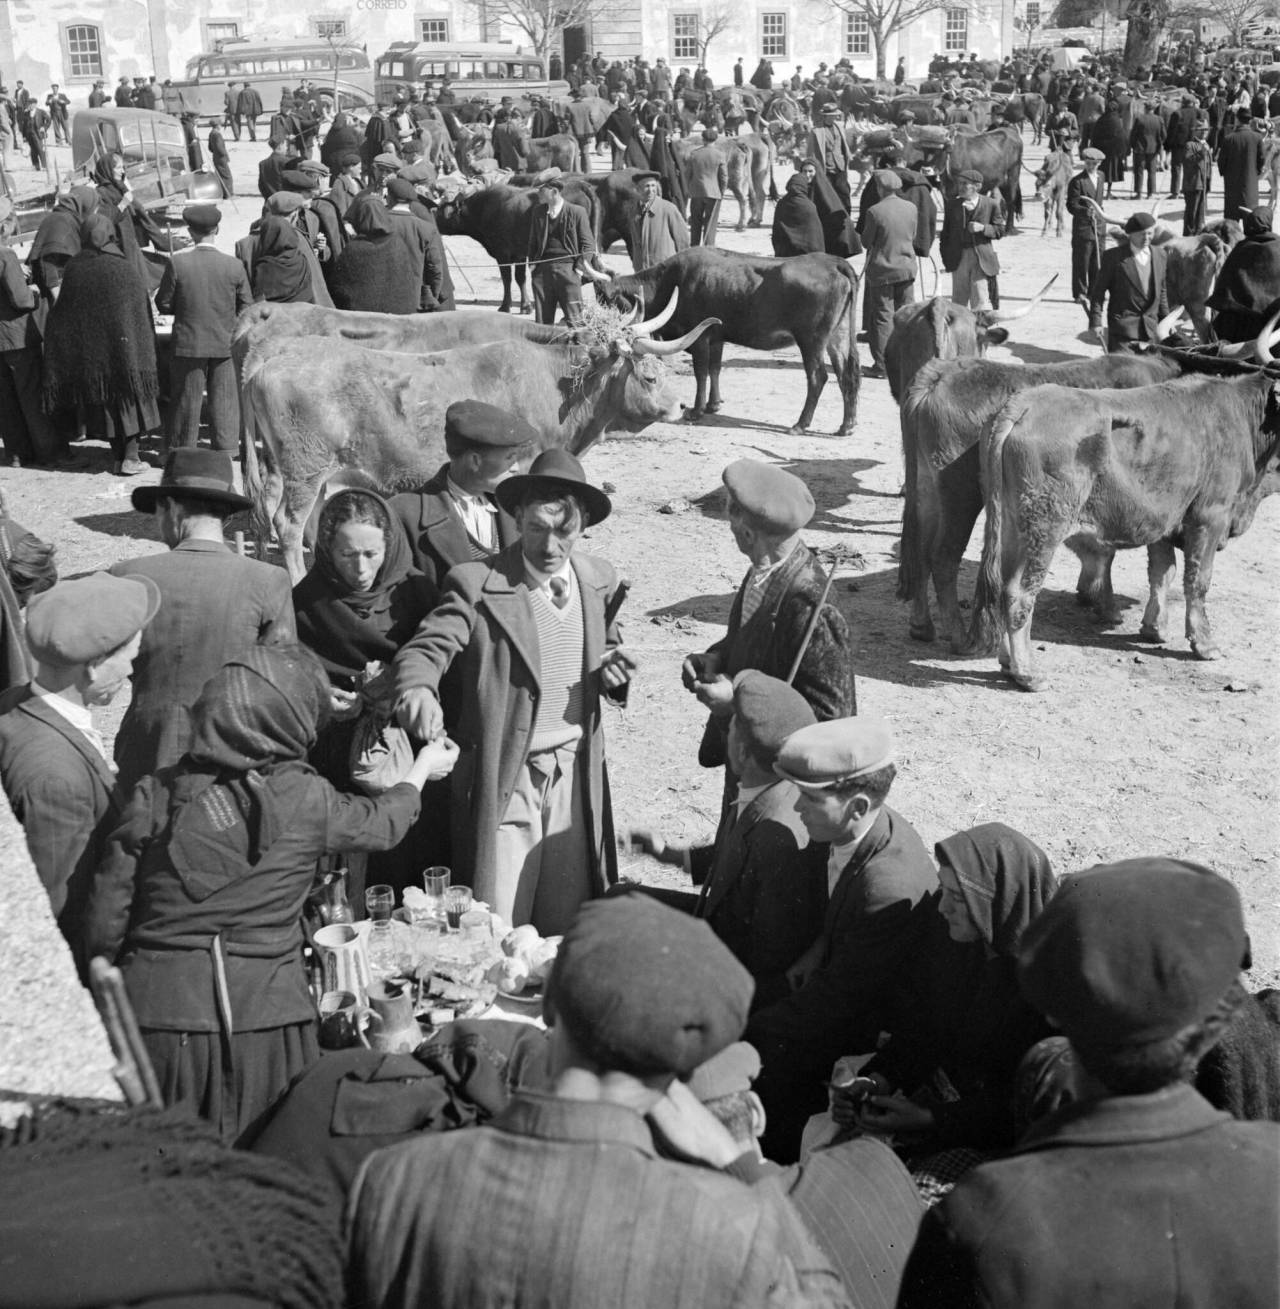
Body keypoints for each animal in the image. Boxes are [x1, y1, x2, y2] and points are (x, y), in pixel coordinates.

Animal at [242, 306, 717, 578]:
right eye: (649, 376)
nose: (680, 407)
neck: (556, 384)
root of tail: (270, 359)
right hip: (305, 470)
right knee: (289, 525)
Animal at [431, 180, 602, 315]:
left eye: (439, 210)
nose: (432, 219)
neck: (484, 210)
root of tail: (579, 184)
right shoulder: (520, 254)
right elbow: (521, 278)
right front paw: (526, 306)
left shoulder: (503, 254)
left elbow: (507, 279)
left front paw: (505, 306)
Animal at [599, 250, 858, 439]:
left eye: (605, 298)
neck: (673, 280)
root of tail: (833, 262)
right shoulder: (717, 338)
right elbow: (715, 369)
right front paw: (714, 404)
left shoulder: (700, 338)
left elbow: (701, 372)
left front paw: (696, 410)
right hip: (839, 337)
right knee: (847, 375)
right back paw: (847, 425)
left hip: (811, 340)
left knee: (818, 378)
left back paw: (801, 424)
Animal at [968, 369, 1277, 691]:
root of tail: (1023, 404)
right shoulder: (1210, 518)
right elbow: (1197, 582)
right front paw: (1205, 644)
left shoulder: (1164, 521)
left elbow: (1162, 573)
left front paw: (1154, 628)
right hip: (1044, 527)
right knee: (1019, 592)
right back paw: (1027, 673)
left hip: (1011, 526)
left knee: (1003, 587)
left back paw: (1007, 663)